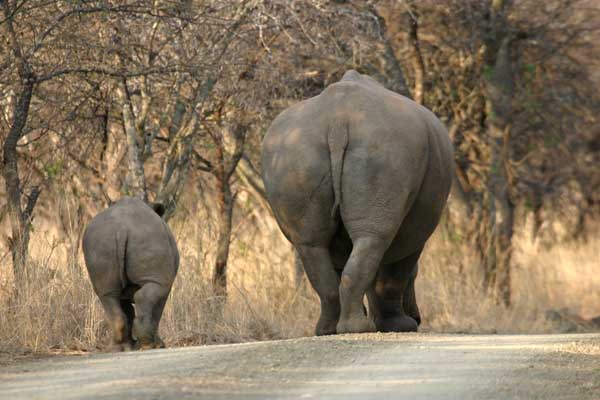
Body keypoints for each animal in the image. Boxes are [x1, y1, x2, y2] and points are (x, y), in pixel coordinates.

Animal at [83, 196, 179, 350]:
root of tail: (122, 229)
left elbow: (127, 309)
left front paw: (132, 345)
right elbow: (157, 310)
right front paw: (159, 345)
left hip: (99, 244)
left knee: (108, 295)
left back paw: (117, 348)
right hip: (149, 238)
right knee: (153, 291)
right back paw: (147, 344)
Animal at [260, 71, 452, 334]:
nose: (419, 318)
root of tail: (338, 122)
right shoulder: (414, 233)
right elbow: (396, 273)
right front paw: (401, 326)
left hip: (295, 153)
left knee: (312, 244)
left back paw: (331, 330)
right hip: (386, 148)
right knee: (373, 239)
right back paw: (360, 328)